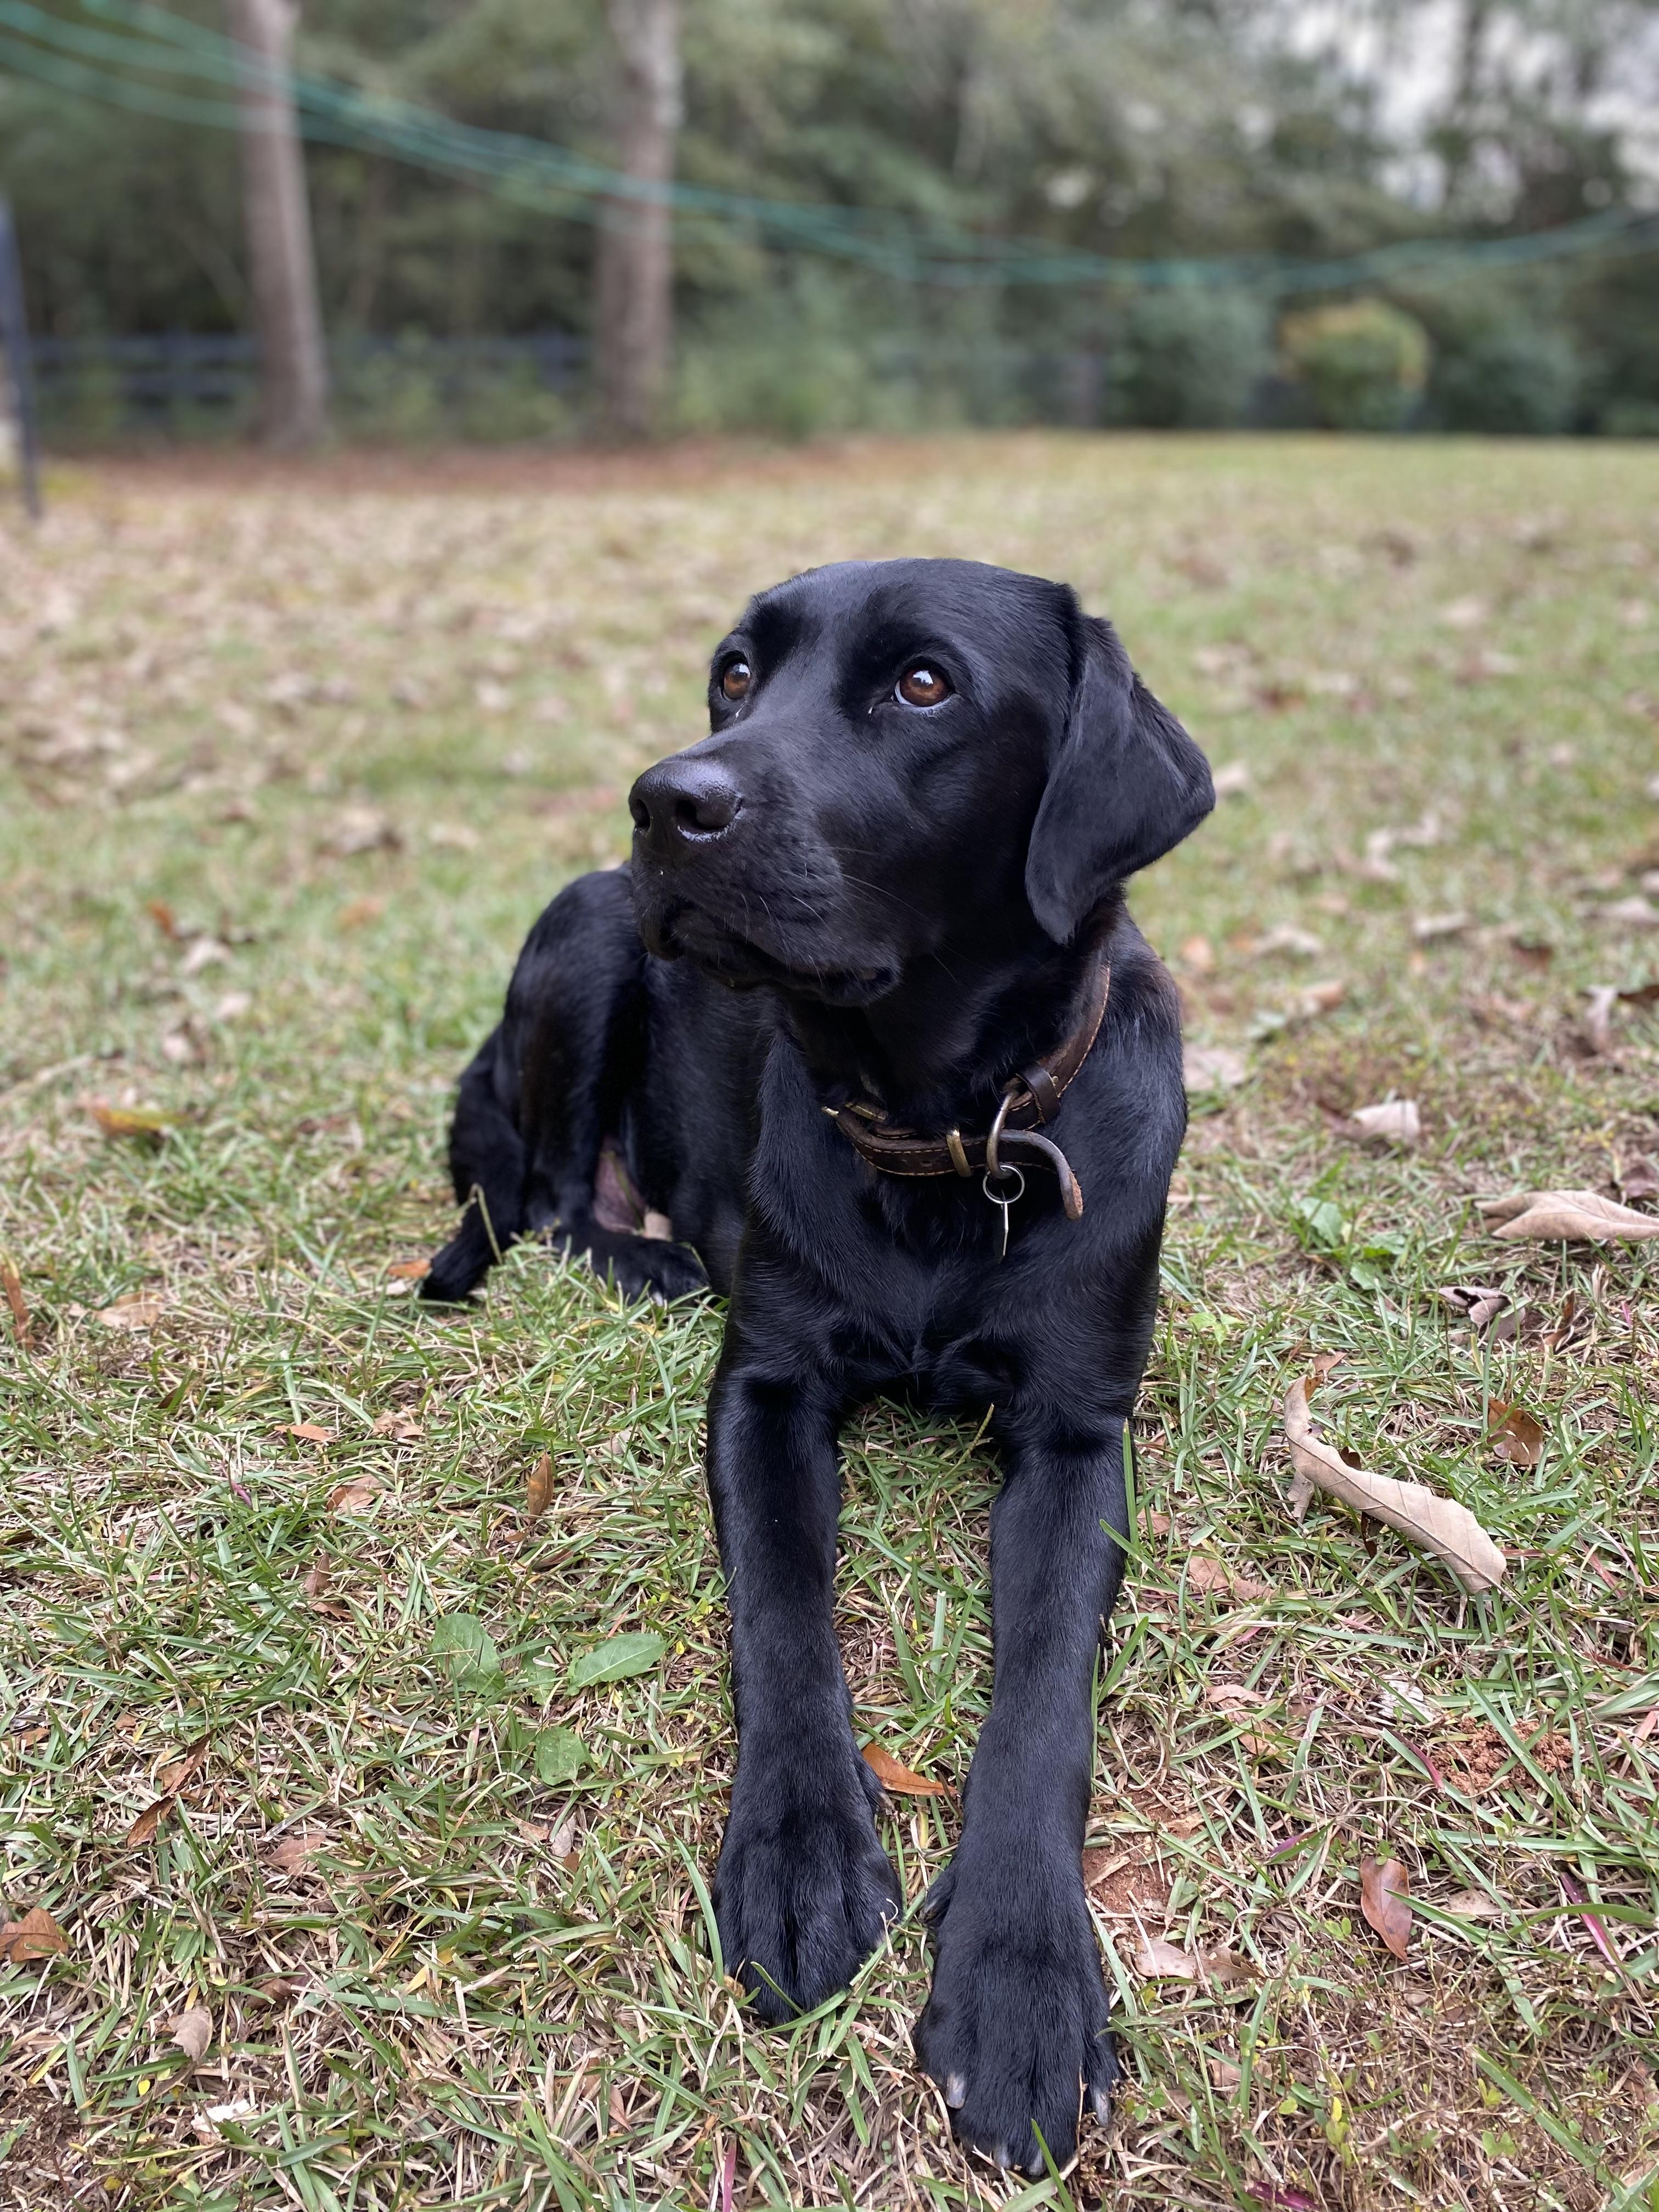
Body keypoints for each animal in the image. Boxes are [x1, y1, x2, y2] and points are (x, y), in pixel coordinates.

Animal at [423, 557, 1212, 2174]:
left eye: (923, 686)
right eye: (734, 676)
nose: (666, 800)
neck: (946, 1138)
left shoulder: (1080, 1435)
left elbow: (1044, 1692)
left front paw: (1022, 1979)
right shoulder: (767, 1392)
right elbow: (784, 1614)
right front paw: (800, 1856)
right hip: (590, 939)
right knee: (549, 1195)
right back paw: (652, 1258)